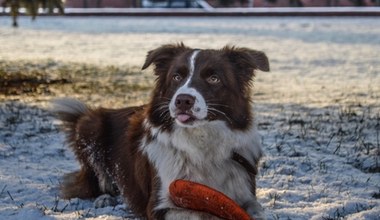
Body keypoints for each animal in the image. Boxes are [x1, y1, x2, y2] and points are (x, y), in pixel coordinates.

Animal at [54, 43, 270, 220]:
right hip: (90, 125)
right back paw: (106, 198)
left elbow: (256, 209)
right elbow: (196, 213)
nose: (183, 100)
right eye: (176, 77)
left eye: (214, 78)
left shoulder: (245, 192)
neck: (201, 143)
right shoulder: (160, 204)